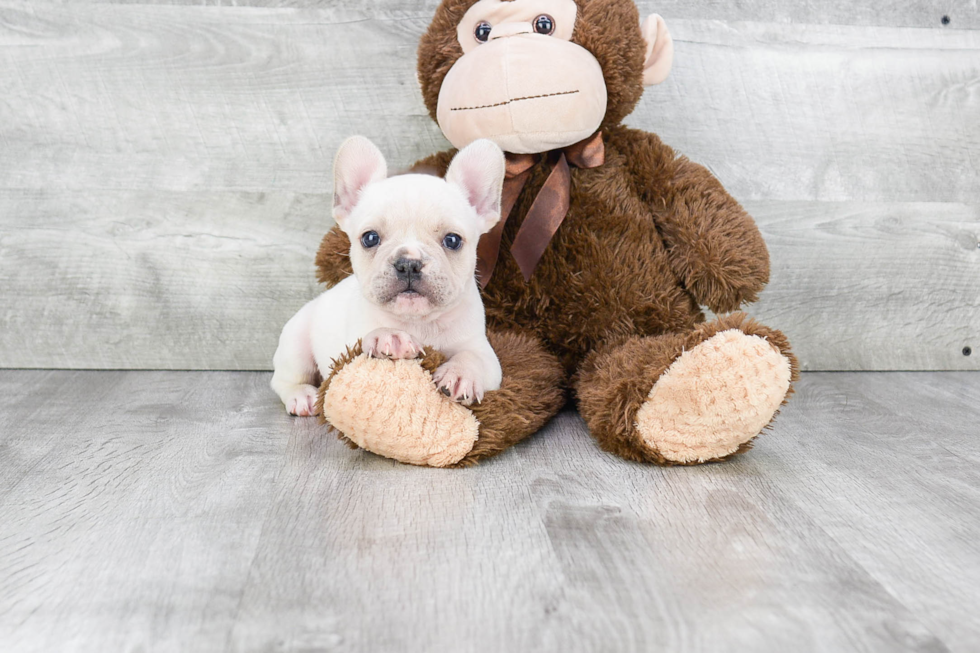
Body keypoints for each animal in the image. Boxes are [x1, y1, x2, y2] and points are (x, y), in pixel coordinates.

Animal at [274, 135, 510, 416]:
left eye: (452, 240)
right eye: (370, 238)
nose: (408, 263)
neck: (417, 322)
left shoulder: (482, 351)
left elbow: (473, 357)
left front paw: (460, 374)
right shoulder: (349, 345)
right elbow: (366, 338)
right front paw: (389, 336)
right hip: (295, 344)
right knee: (282, 380)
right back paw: (301, 396)